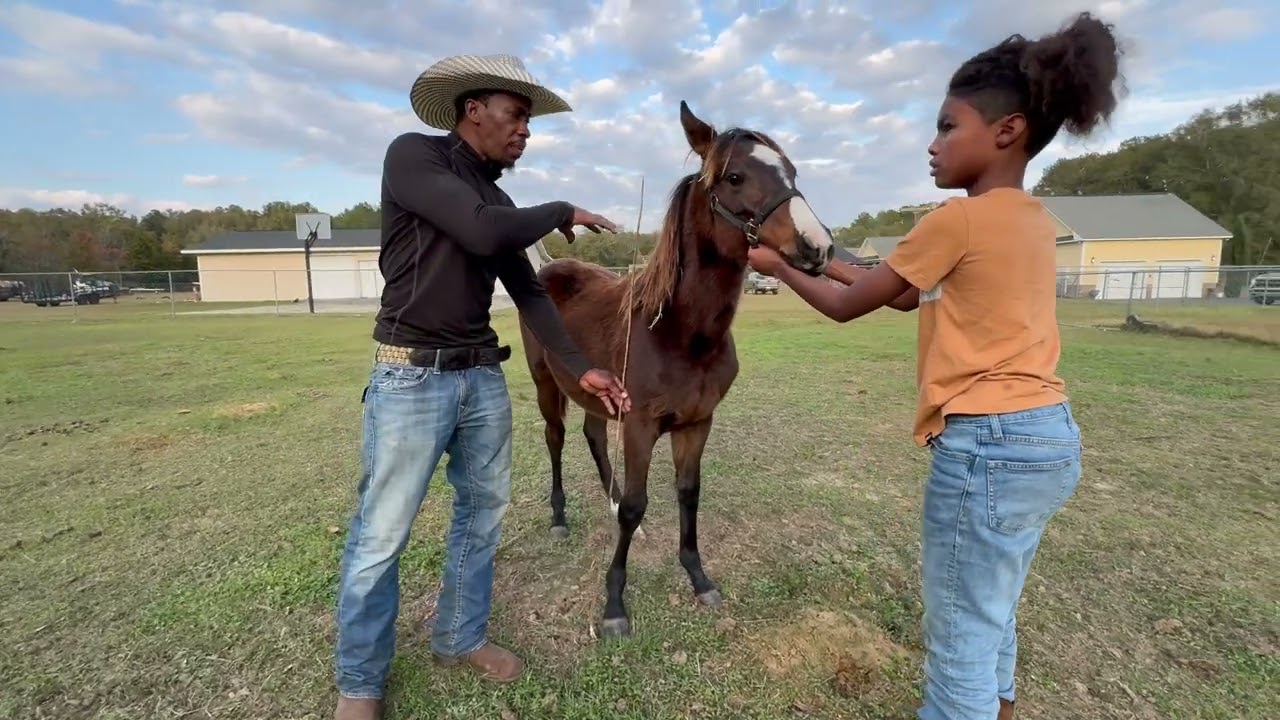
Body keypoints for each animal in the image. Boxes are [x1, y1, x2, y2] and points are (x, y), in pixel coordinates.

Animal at [517, 100, 836, 637]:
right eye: (734, 176)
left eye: (792, 172)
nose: (818, 247)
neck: (677, 331)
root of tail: (552, 268)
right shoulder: (641, 426)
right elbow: (635, 506)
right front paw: (614, 605)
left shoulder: (696, 422)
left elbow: (688, 494)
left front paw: (698, 576)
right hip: (547, 385)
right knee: (556, 438)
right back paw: (559, 517)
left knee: (593, 436)